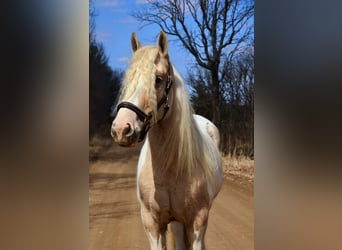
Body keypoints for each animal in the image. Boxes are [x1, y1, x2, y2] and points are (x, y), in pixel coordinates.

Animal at [112, 30, 223, 249]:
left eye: (158, 79)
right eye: (128, 79)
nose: (121, 129)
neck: (171, 168)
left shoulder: (198, 222)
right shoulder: (152, 223)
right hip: (176, 221)